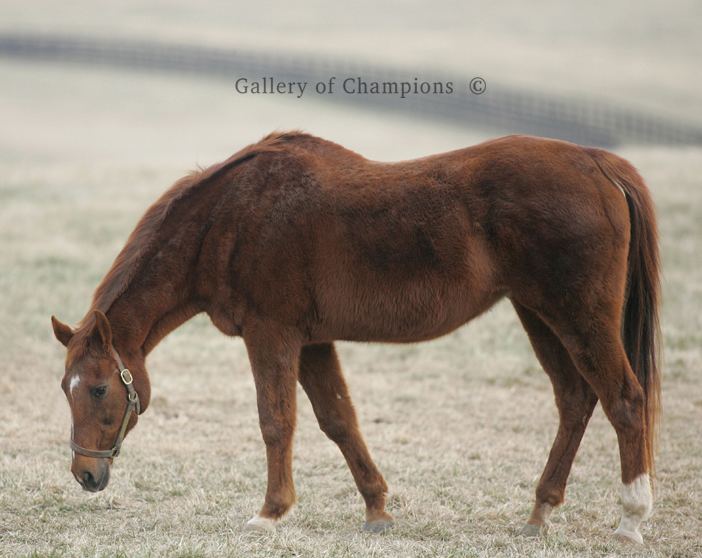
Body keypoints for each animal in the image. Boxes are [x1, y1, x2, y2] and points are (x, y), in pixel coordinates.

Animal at [52, 131, 664, 544]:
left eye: (100, 388)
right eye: (66, 388)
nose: (86, 474)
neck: (230, 218)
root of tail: (598, 163)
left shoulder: (272, 334)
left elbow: (276, 422)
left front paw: (270, 512)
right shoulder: (312, 342)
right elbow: (338, 419)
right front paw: (377, 509)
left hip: (579, 317)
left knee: (624, 400)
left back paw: (631, 519)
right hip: (539, 315)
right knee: (576, 399)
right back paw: (541, 511)